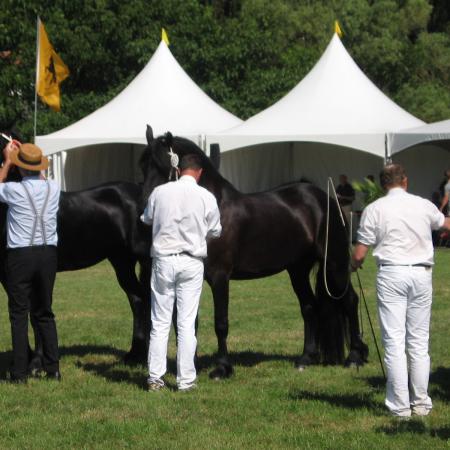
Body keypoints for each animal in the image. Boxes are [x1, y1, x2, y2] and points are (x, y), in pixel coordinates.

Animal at [142, 127, 370, 380]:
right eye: (143, 165)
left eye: (163, 165)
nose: (146, 205)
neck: (215, 206)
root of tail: (325, 198)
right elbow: (190, 322)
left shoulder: (220, 276)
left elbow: (221, 322)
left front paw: (222, 368)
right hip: (298, 270)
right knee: (309, 307)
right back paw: (305, 359)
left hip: (334, 263)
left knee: (349, 300)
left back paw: (354, 357)